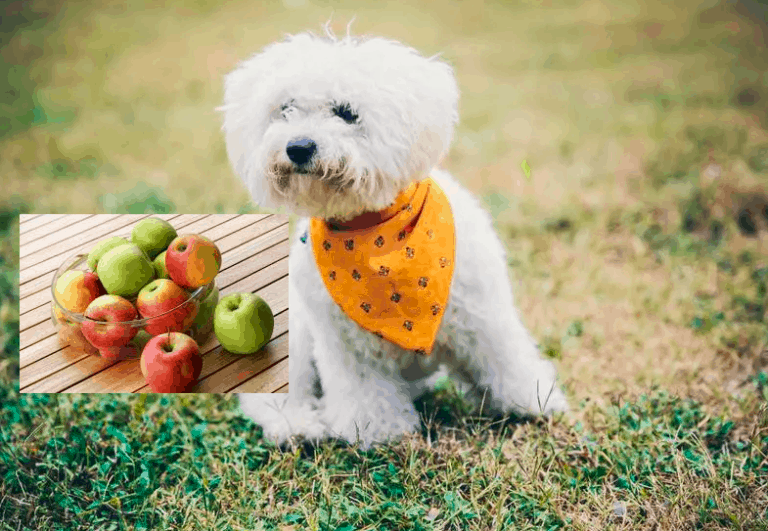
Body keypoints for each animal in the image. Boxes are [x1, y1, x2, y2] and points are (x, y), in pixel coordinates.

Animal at [219, 27, 568, 446]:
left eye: (346, 112)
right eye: (285, 109)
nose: (298, 147)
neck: (375, 233)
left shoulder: (484, 317)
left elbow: (507, 361)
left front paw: (531, 402)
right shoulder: (346, 348)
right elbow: (366, 395)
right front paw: (380, 432)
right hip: (300, 342)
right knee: (275, 399)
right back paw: (299, 426)